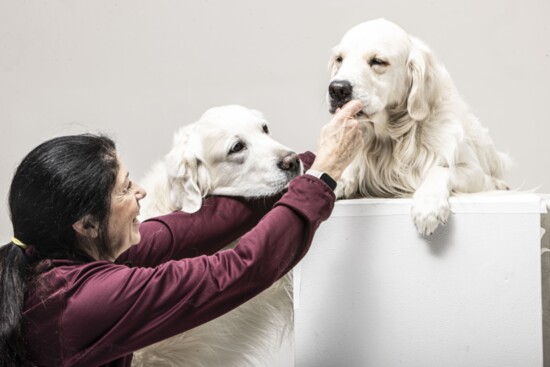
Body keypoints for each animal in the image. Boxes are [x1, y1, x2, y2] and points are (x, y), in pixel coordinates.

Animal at [328, 18, 512, 236]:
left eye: (378, 61)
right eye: (339, 59)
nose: (337, 89)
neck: (393, 137)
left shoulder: (472, 169)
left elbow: (440, 169)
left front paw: (428, 206)